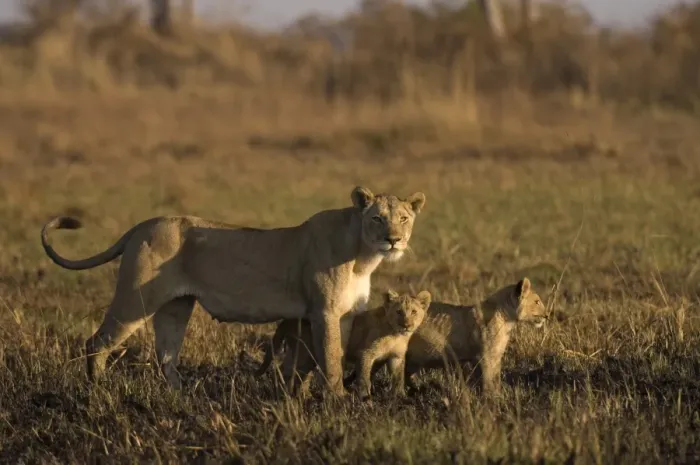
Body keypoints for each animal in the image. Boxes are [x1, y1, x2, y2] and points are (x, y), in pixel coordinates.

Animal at [255, 289, 431, 398]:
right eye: (399, 312)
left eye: (414, 312)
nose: (406, 325)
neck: (396, 334)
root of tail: (289, 319)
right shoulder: (366, 353)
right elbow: (364, 377)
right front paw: (365, 398)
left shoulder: (396, 357)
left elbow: (398, 377)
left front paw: (399, 396)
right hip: (305, 353)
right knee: (290, 371)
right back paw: (287, 396)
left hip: (304, 354)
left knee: (294, 372)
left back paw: (301, 396)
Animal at [344, 278, 547, 394]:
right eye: (537, 301)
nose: (547, 316)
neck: (507, 318)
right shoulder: (487, 356)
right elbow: (490, 381)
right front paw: (494, 400)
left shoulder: (493, 357)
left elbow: (495, 378)